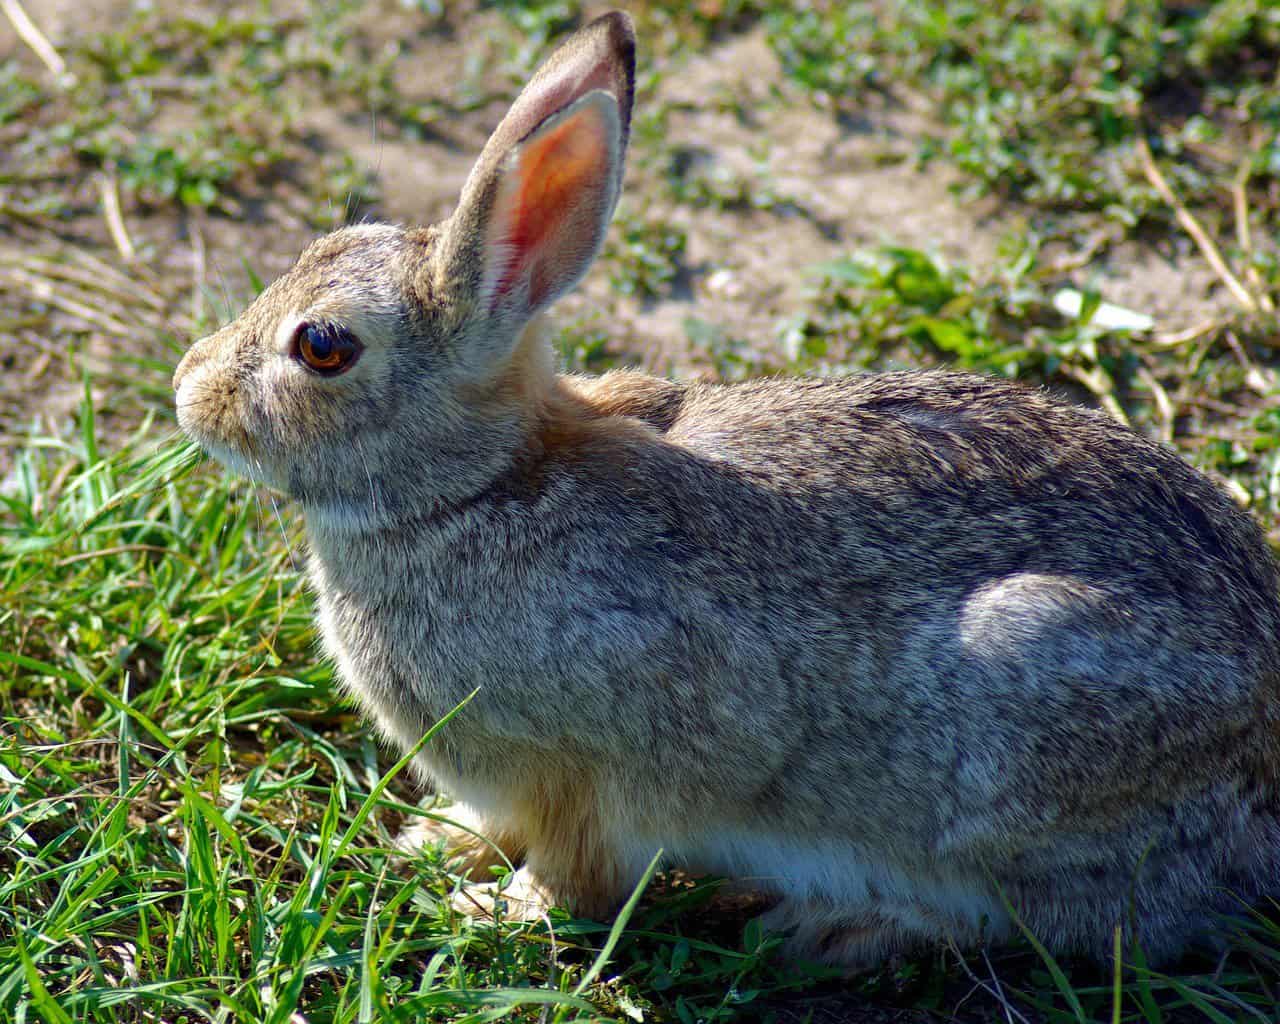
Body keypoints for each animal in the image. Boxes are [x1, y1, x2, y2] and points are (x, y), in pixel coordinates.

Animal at [173, 10, 1280, 966]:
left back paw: (833, 926)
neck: (478, 487)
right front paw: (436, 842)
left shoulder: (595, 770)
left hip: (1026, 704)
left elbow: (582, 873)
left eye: (322, 347)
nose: (189, 389)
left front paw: (493, 908)